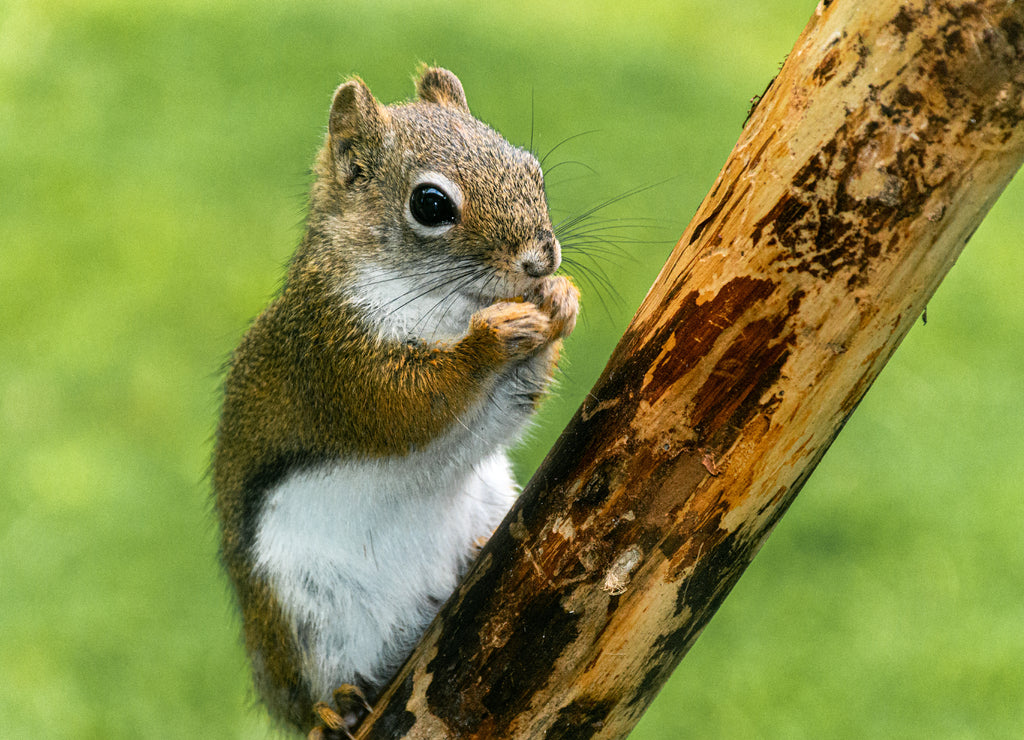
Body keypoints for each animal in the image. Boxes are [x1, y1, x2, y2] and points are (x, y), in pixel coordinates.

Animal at [213, 66, 579, 736]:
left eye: (532, 168)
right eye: (431, 205)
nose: (542, 259)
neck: (444, 305)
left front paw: (561, 301)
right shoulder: (334, 356)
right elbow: (406, 407)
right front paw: (489, 342)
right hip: (299, 620)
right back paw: (334, 706)